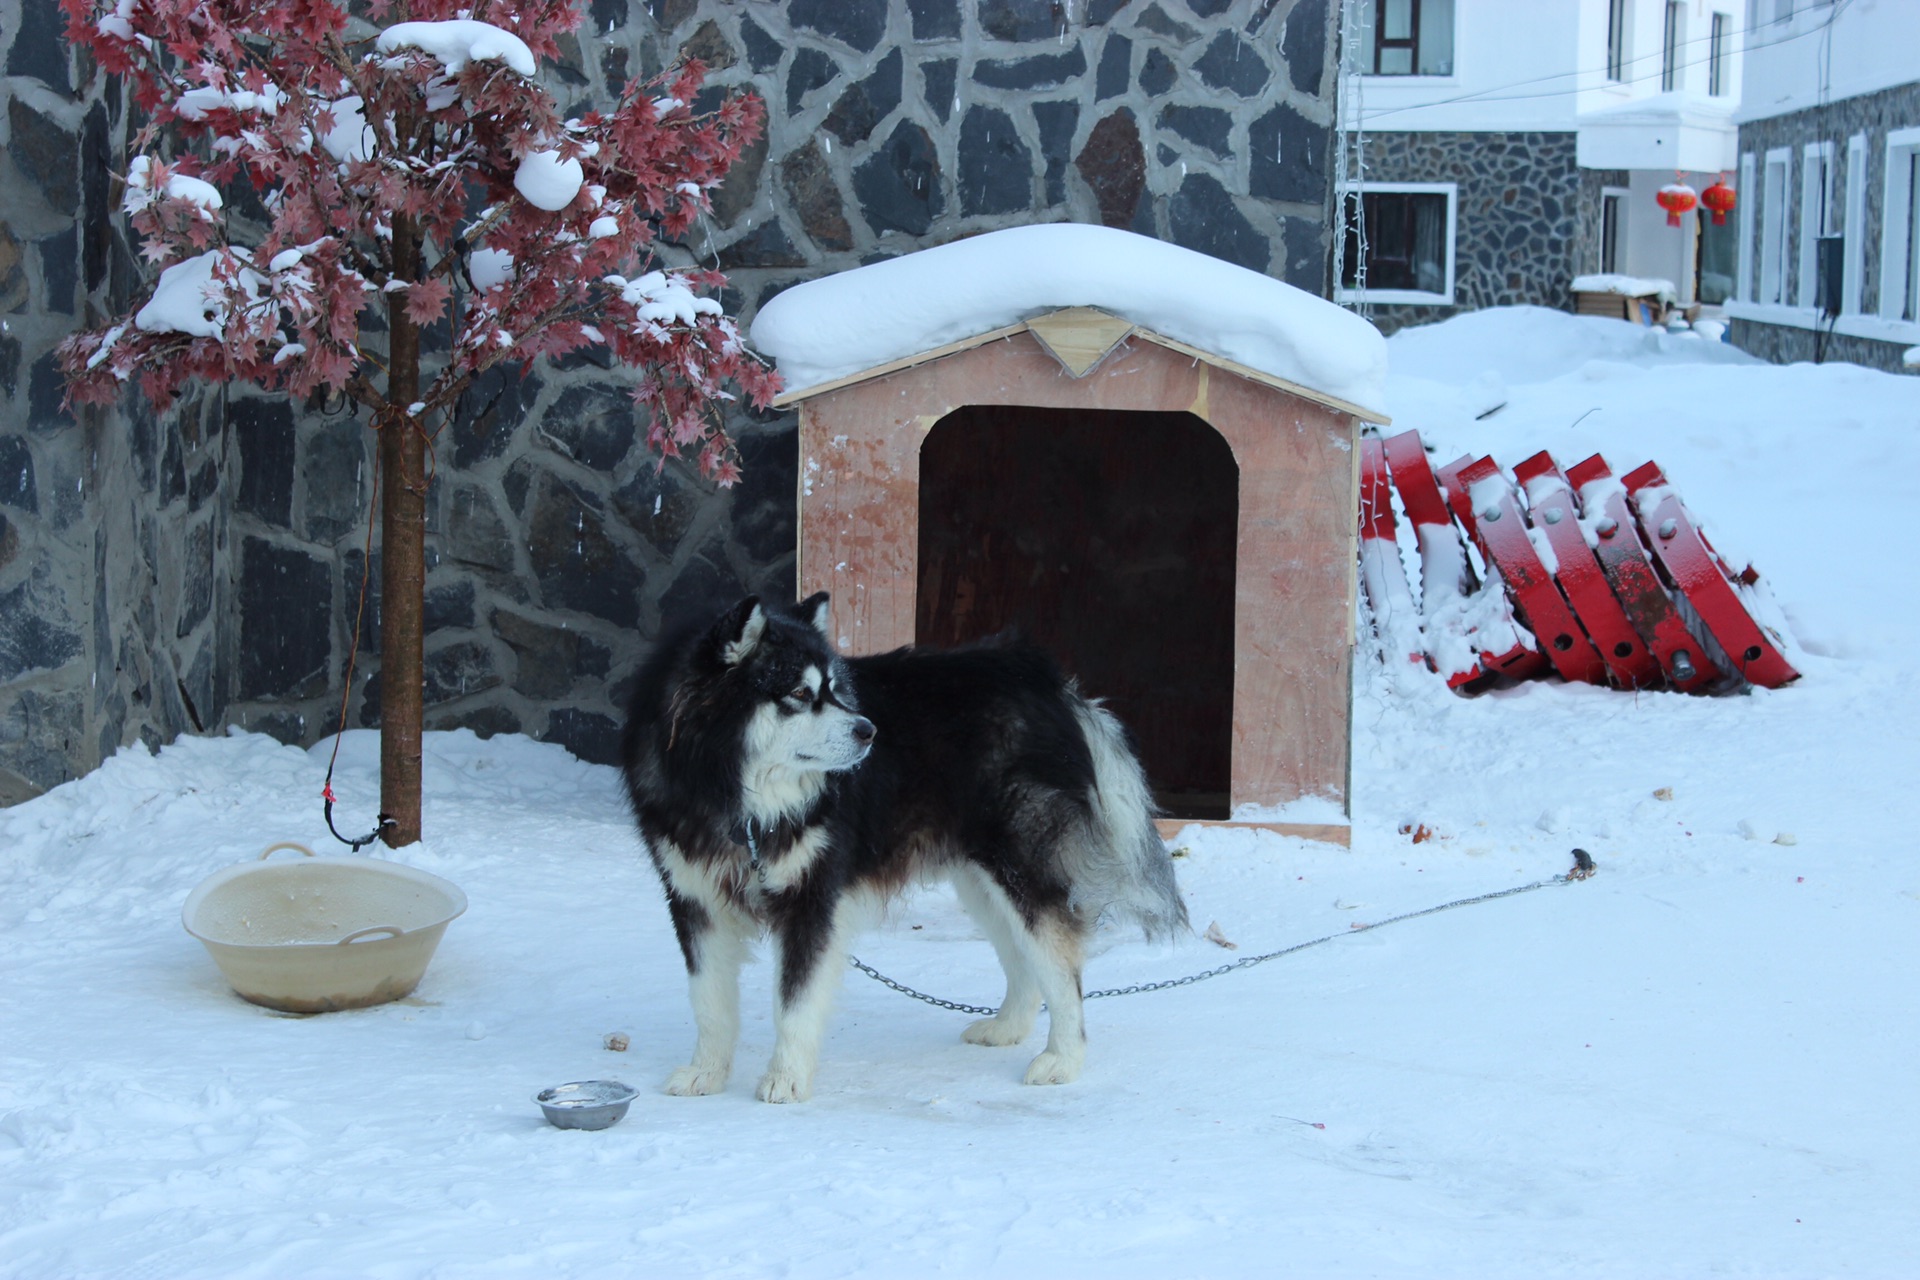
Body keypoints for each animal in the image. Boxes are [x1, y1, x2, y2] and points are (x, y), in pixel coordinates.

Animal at [622, 591, 1182, 1105]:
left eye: (834, 689)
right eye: (800, 693)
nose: (869, 729)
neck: (740, 800)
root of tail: (1034, 671)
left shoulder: (812, 899)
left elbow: (794, 1004)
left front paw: (785, 1078)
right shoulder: (694, 900)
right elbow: (709, 1002)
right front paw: (707, 1073)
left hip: (1019, 867)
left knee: (1060, 965)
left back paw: (1063, 1058)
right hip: (981, 879)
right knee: (1024, 956)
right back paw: (1007, 1028)